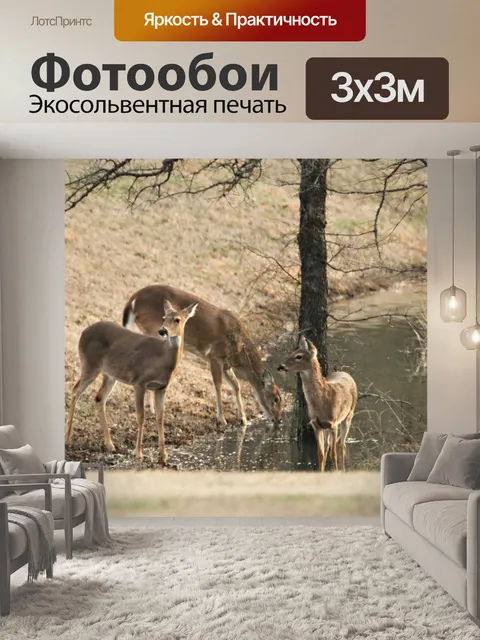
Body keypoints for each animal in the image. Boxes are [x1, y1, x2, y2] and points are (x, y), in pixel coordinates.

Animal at [65, 300, 198, 465]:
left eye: (177, 319)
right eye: (163, 317)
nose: (162, 331)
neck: (162, 360)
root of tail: (84, 331)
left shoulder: (161, 388)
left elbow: (160, 417)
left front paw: (163, 455)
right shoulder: (139, 382)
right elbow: (141, 416)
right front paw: (139, 453)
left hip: (110, 374)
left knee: (99, 397)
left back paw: (110, 445)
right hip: (90, 364)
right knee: (75, 391)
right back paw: (68, 438)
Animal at [122, 284, 282, 430]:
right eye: (276, 398)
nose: (278, 419)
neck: (239, 350)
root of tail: (133, 300)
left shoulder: (226, 363)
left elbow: (236, 385)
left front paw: (243, 419)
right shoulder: (214, 356)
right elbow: (218, 385)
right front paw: (221, 420)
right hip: (153, 328)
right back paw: (151, 407)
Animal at [277, 337, 357, 472]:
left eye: (299, 356)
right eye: (293, 352)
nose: (280, 366)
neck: (322, 402)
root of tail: (345, 373)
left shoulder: (333, 423)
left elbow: (333, 455)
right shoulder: (316, 425)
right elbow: (320, 454)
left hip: (348, 416)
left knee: (342, 445)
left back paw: (343, 470)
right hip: (327, 427)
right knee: (329, 446)